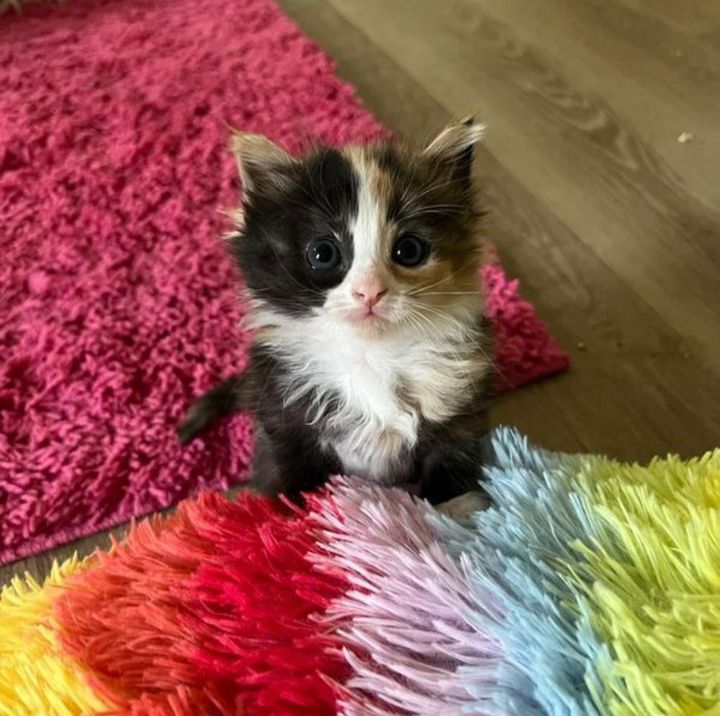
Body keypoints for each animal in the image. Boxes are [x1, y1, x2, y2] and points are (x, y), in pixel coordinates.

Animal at [180, 117, 496, 500]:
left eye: (409, 250)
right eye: (323, 253)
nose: (370, 291)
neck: (373, 357)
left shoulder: (461, 418)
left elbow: (453, 485)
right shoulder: (284, 426)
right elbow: (290, 490)